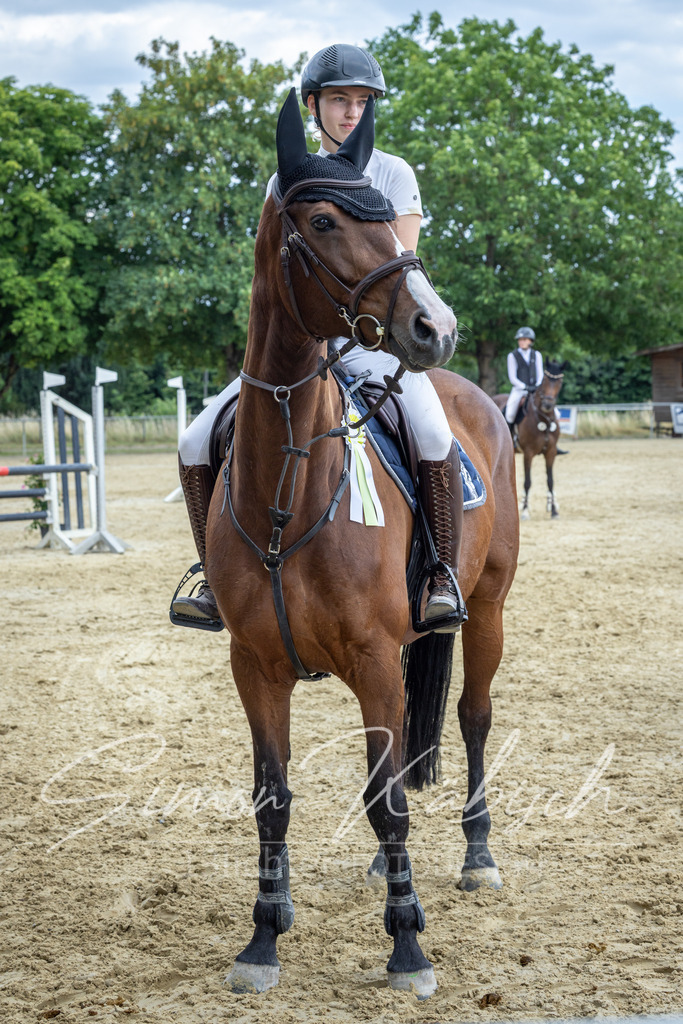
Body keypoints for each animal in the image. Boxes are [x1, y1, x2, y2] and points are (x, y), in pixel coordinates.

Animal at [205, 90, 519, 998]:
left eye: (385, 220)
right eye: (321, 219)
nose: (433, 325)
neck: (290, 491)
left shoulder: (375, 659)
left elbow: (388, 801)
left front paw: (408, 946)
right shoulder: (253, 664)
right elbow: (272, 796)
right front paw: (263, 937)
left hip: (485, 605)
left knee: (473, 717)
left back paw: (477, 856)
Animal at [494, 362, 566, 519]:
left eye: (559, 381)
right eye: (544, 380)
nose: (547, 405)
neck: (543, 420)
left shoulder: (551, 452)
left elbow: (550, 481)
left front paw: (553, 510)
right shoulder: (528, 453)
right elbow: (527, 481)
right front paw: (526, 510)